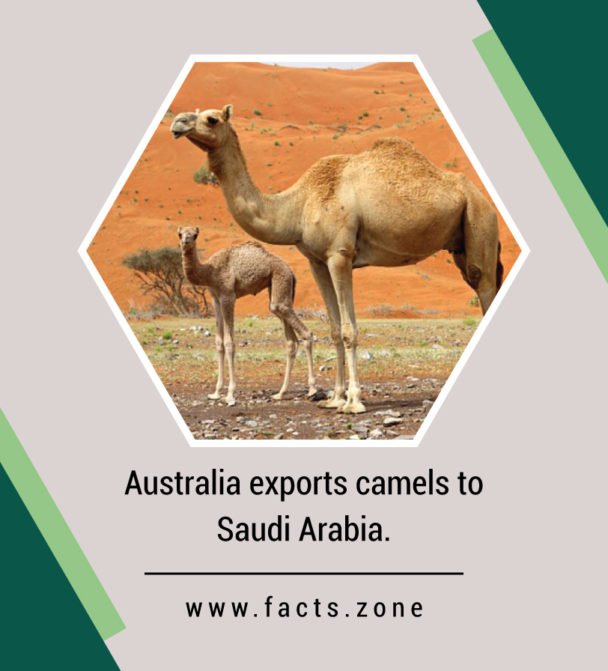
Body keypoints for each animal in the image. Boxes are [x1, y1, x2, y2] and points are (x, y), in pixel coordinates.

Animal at [177, 226, 317, 406]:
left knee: (305, 333)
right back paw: (280, 393)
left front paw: (230, 395)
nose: (186, 241)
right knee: (290, 339)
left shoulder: (228, 296)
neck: (209, 271)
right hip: (277, 290)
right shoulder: (215, 297)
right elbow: (219, 343)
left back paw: (312, 390)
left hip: (280, 280)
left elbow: (229, 343)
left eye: (195, 235)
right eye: (180, 234)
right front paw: (215, 393)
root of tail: (291, 271)